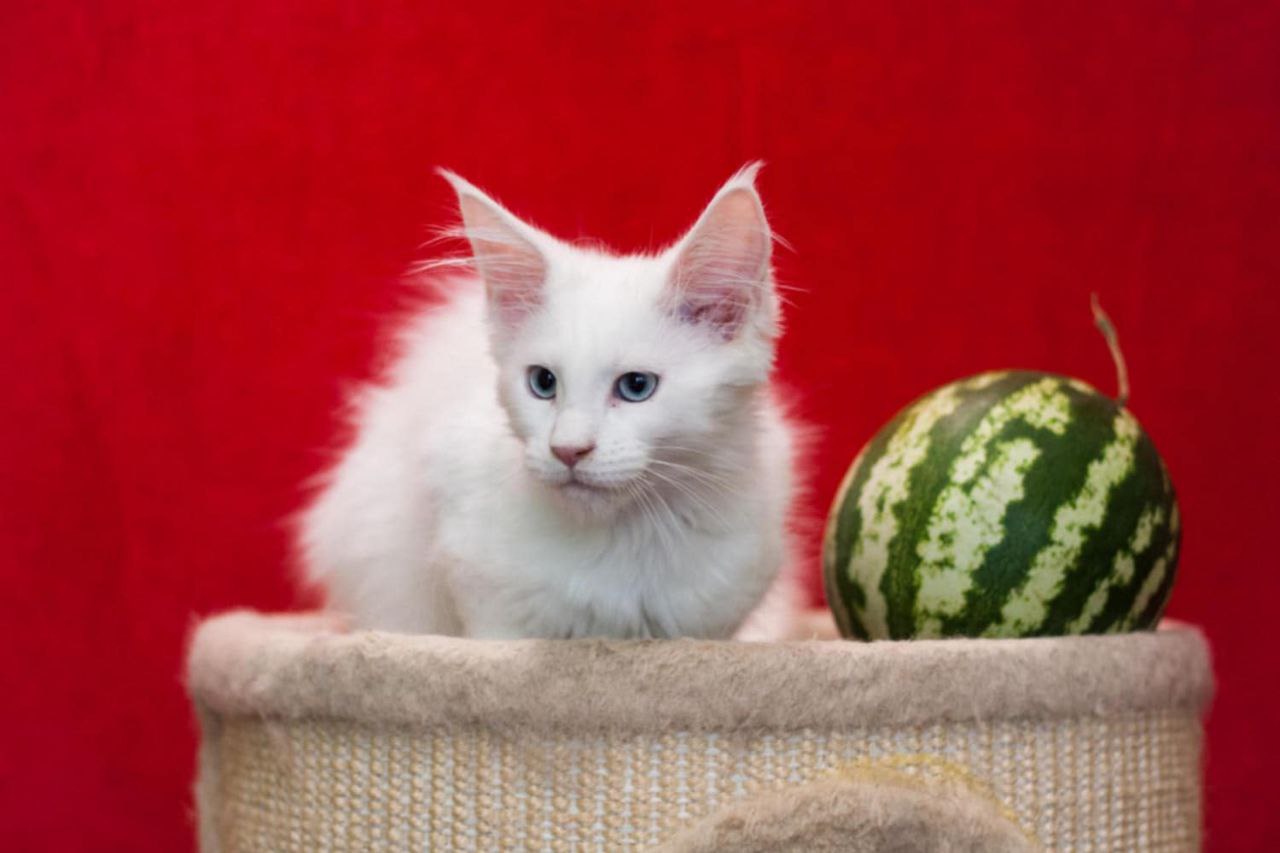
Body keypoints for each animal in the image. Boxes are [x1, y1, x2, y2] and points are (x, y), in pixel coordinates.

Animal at [299, 163, 798, 637]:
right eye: (543, 382)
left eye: (636, 386)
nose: (567, 449)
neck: (626, 538)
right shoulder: (482, 588)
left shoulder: (714, 615)